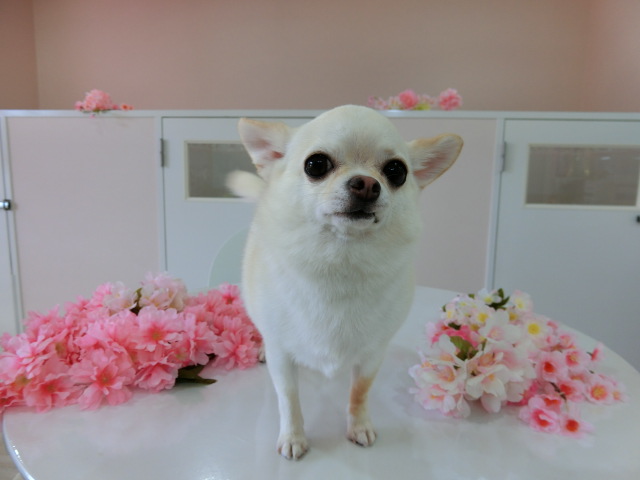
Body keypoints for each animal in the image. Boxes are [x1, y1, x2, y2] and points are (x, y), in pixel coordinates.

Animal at [228, 105, 462, 460]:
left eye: (396, 171)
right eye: (316, 164)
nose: (366, 184)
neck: (341, 262)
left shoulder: (373, 353)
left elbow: (360, 391)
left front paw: (359, 425)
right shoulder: (283, 355)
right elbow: (288, 397)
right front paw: (294, 436)